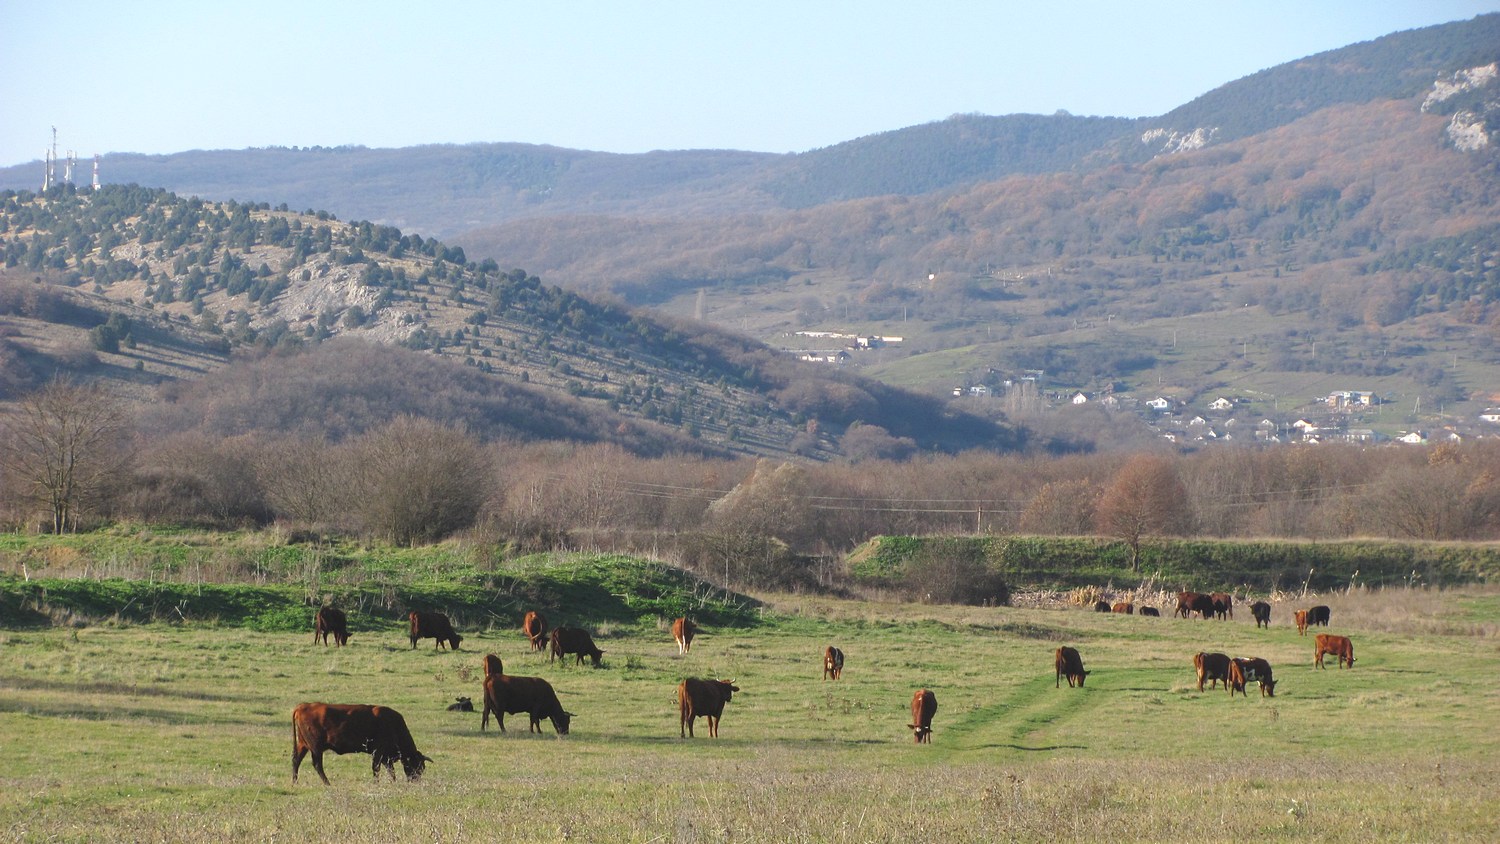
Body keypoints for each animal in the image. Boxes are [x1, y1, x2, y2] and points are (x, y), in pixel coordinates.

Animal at [289, 701, 429, 785]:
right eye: (418, 766)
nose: (415, 781)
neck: (393, 725)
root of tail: (304, 706)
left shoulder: (385, 756)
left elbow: (390, 770)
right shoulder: (378, 752)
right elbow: (376, 768)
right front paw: (376, 783)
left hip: (303, 745)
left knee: (296, 760)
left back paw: (295, 782)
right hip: (316, 748)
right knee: (317, 764)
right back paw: (327, 783)